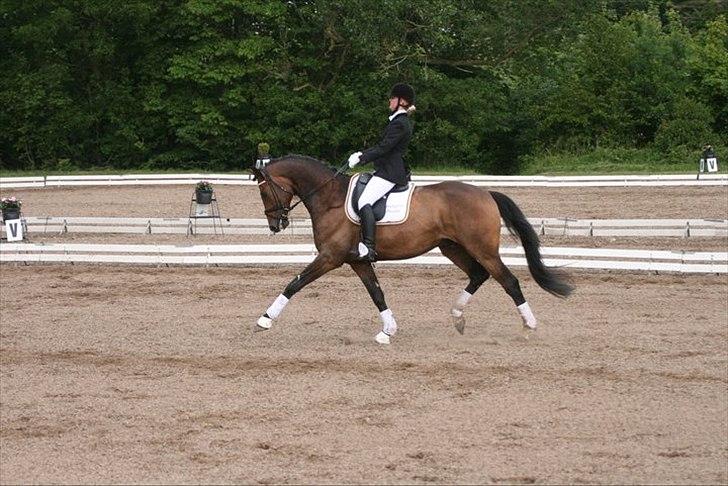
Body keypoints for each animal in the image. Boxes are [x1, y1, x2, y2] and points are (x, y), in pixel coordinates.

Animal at [253, 155, 572, 342]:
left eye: (264, 190)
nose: (275, 225)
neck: (329, 197)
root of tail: (485, 193)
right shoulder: (357, 261)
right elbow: (377, 293)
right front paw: (388, 331)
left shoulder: (330, 257)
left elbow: (295, 283)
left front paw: (264, 320)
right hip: (452, 248)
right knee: (478, 275)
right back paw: (457, 317)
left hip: (482, 248)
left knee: (508, 280)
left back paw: (529, 325)